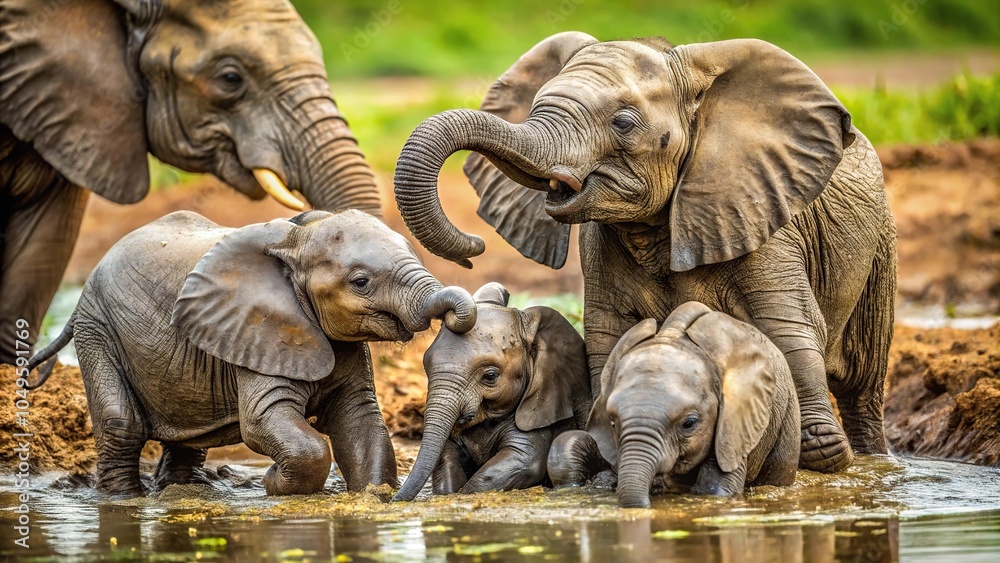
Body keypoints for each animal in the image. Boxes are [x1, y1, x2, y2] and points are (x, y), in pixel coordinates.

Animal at [24, 209, 477, 498]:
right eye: (361, 282)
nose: (457, 319)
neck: (297, 240)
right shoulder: (257, 329)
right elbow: (263, 421)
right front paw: (274, 484)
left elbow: (360, 422)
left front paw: (371, 495)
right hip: (97, 327)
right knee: (122, 423)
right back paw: (123, 501)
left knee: (188, 433)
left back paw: (185, 491)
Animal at [391, 33, 897, 473]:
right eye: (535, 107)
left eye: (623, 124)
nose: (473, 249)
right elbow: (610, 336)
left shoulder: (762, 216)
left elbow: (788, 327)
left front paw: (821, 452)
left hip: (880, 249)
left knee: (864, 385)